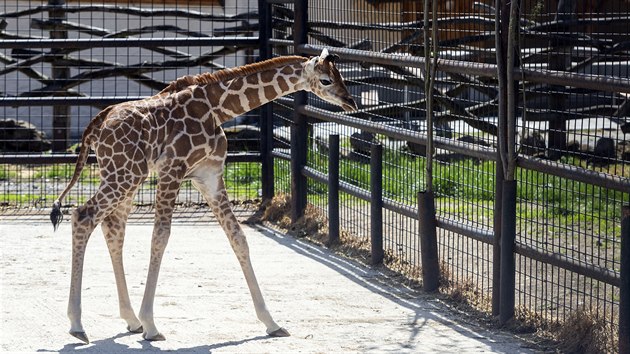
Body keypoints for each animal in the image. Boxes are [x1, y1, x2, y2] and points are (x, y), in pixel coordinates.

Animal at [51, 47, 358, 342]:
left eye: (341, 76)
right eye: (326, 80)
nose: (351, 102)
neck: (219, 109)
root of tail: (98, 123)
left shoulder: (209, 178)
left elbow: (238, 239)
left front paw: (271, 323)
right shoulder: (172, 170)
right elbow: (160, 237)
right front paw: (152, 325)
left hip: (123, 175)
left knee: (112, 228)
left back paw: (130, 319)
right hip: (125, 175)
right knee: (83, 216)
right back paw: (78, 324)